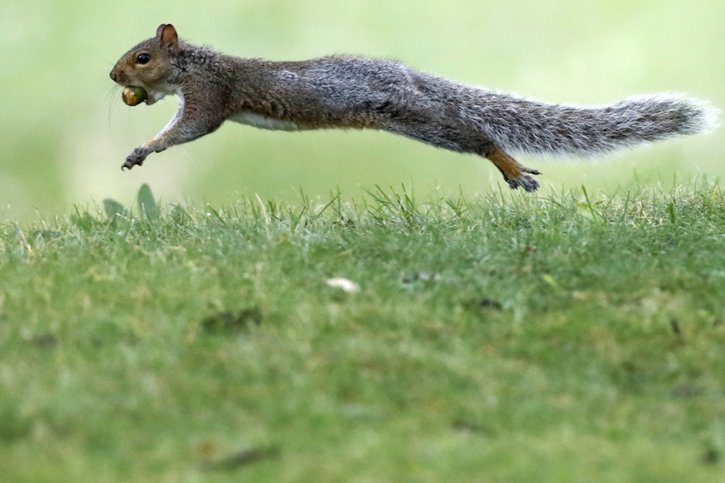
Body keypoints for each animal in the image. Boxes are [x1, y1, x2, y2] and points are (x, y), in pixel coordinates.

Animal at [110, 23, 716, 192]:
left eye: (142, 57)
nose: (115, 78)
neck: (195, 64)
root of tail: (408, 76)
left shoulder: (212, 95)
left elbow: (190, 128)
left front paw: (145, 147)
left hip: (416, 119)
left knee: (478, 137)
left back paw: (511, 167)